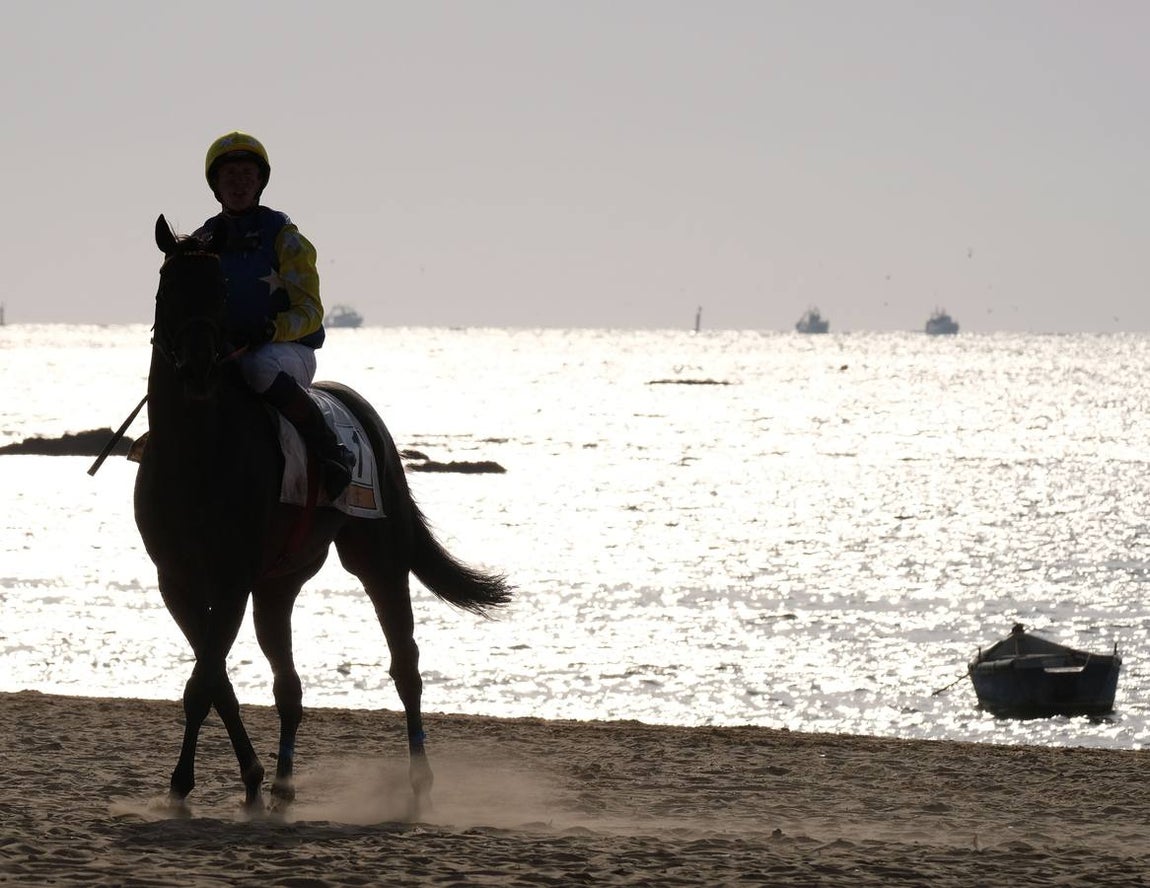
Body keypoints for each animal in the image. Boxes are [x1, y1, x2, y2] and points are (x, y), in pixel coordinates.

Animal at [135, 214, 512, 812]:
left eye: (218, 291)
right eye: (168, 287)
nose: (197, 369)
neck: (198, 450)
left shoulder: (231, 578)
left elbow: (203, 683)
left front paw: (184, 783)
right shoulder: (177, 580)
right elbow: (217, 682)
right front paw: (244, 777)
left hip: (378, 561)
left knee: (406, 666)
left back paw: (419, 782)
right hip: (278, 584)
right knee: (288, 684)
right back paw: (284, 782)